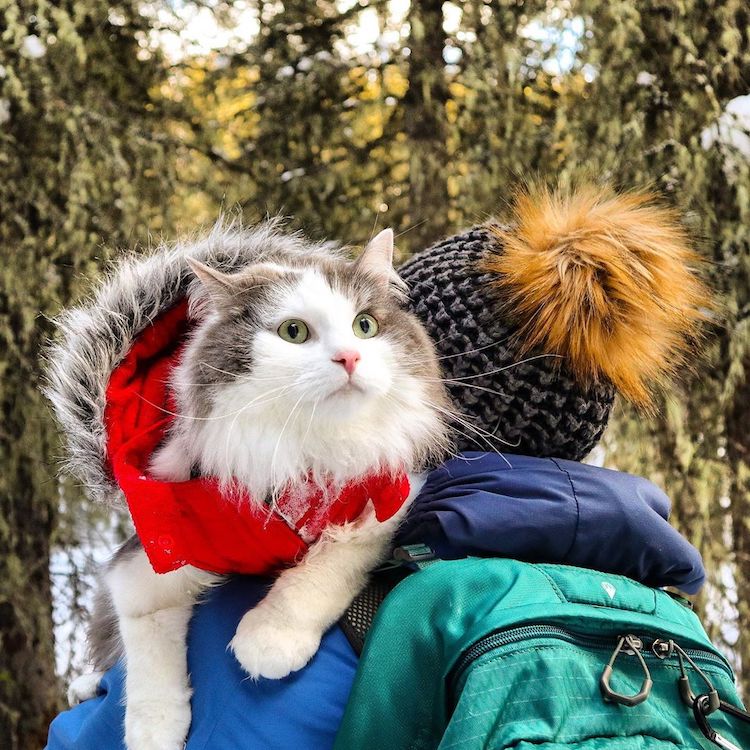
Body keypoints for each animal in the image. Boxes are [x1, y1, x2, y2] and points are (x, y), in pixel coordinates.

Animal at [70, 228, 456, 750]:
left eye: (365, 326)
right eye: (294, 332)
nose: (350, 357)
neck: (301, 452)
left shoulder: (386, 498)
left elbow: (325, 568)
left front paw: (270, 638)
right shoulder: (149, 556)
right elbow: (149, 658)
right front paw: (154, 731)